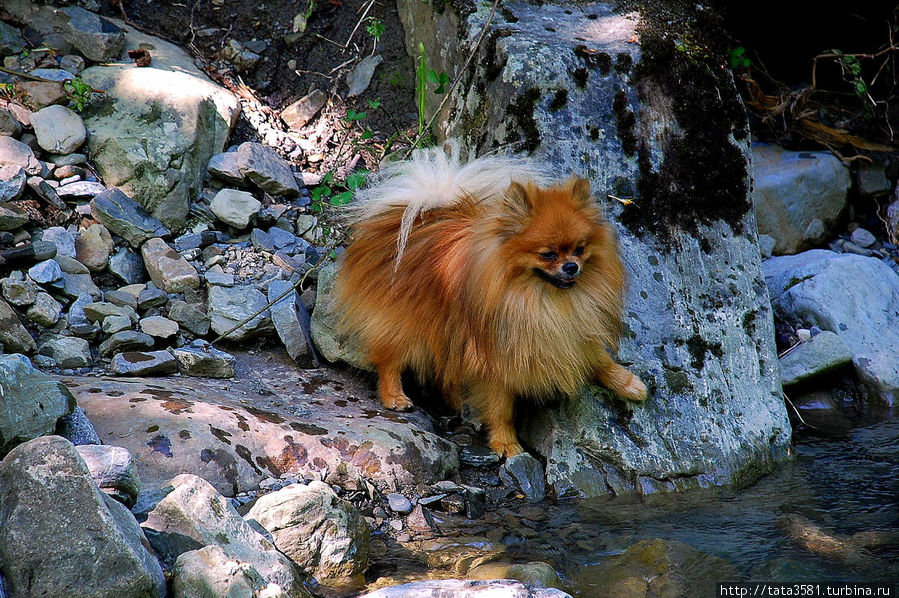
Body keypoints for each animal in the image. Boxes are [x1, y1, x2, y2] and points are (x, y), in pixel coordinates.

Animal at [336, 143, 648, 458]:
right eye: (548, 254)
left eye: (580, 249)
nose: (571, 267)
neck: (545, 301)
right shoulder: (496, 361)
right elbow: (500, 409)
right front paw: (507, 444)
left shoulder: (576, 333)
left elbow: (599, 359)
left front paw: (628, 383)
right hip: (407, 324)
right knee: (389, 359)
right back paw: (394, 396)